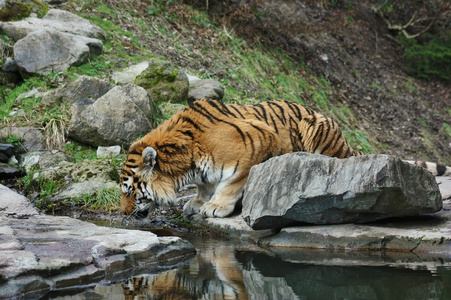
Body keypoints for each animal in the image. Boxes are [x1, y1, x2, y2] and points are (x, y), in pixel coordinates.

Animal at [120, 98, 364, 218]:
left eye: (130, 192)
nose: (124, 213)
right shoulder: (202, 174)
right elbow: (204, 186)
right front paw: (197, 202)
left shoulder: (260, 140)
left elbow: (230, 184)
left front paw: (215, 206)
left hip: (316, 127)